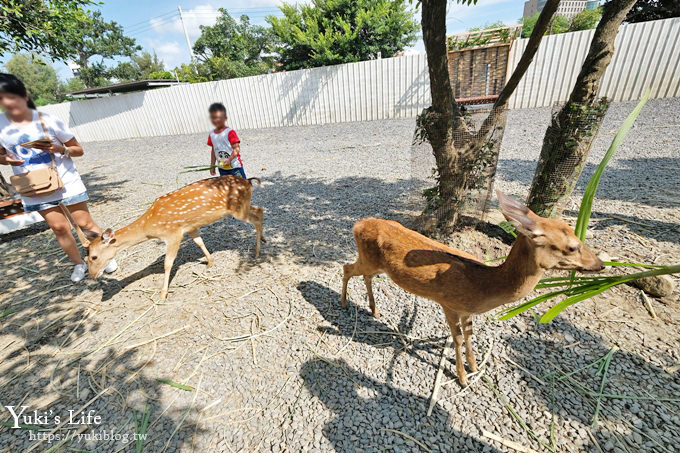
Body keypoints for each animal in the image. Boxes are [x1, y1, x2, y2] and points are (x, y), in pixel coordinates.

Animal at [81, 175, 264, 298]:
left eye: (94, 256)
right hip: (243, 205)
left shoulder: (173, 234)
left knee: (257, 216)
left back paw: (257, 252)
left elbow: (168, 263)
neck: (150, 226)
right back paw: (263, 239)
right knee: (259, 210)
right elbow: (199, 242)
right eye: (86, 258)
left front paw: (163, 294)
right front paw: (210, 262)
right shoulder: (189, 227)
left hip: (238, 209)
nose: (91, 275)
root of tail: (248, 181)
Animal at [342, 190, 604, 384]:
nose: (600, 264)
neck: (482, 286)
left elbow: (469, 334)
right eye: (572, 247)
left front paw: (474, 365)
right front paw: (462, 378)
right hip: (368, 259)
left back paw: (374, 310)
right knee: (346, 268)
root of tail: (358, 224)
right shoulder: (448, 304)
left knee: (363, 276)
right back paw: (344, 303)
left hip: (376, 265)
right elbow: (457, 339)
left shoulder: (466, 310)